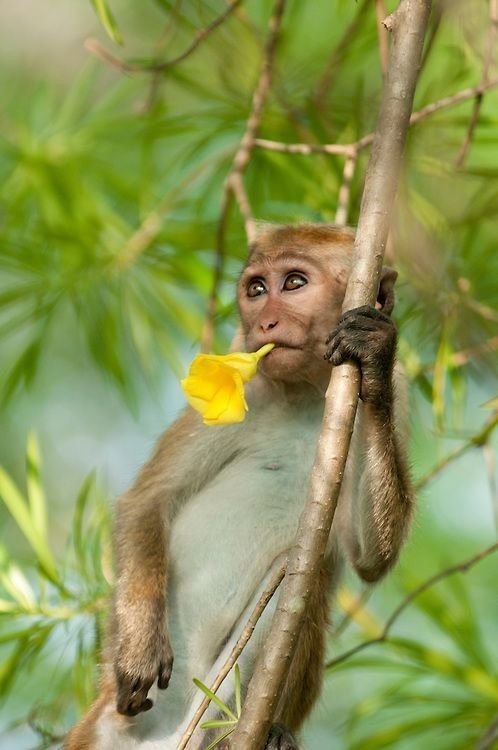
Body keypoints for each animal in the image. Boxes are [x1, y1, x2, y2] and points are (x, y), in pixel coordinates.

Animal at [64, 223, 414, 750]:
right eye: (256, 289)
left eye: (293, 283)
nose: (264, 323)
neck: (308, 393)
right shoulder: (235, 387)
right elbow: (148, 501)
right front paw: (139, 647)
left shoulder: (400, 390)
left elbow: (371, 557)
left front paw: (371, 353)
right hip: (109, 730)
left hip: (209, 708)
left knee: (300, 577)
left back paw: (265, 733)